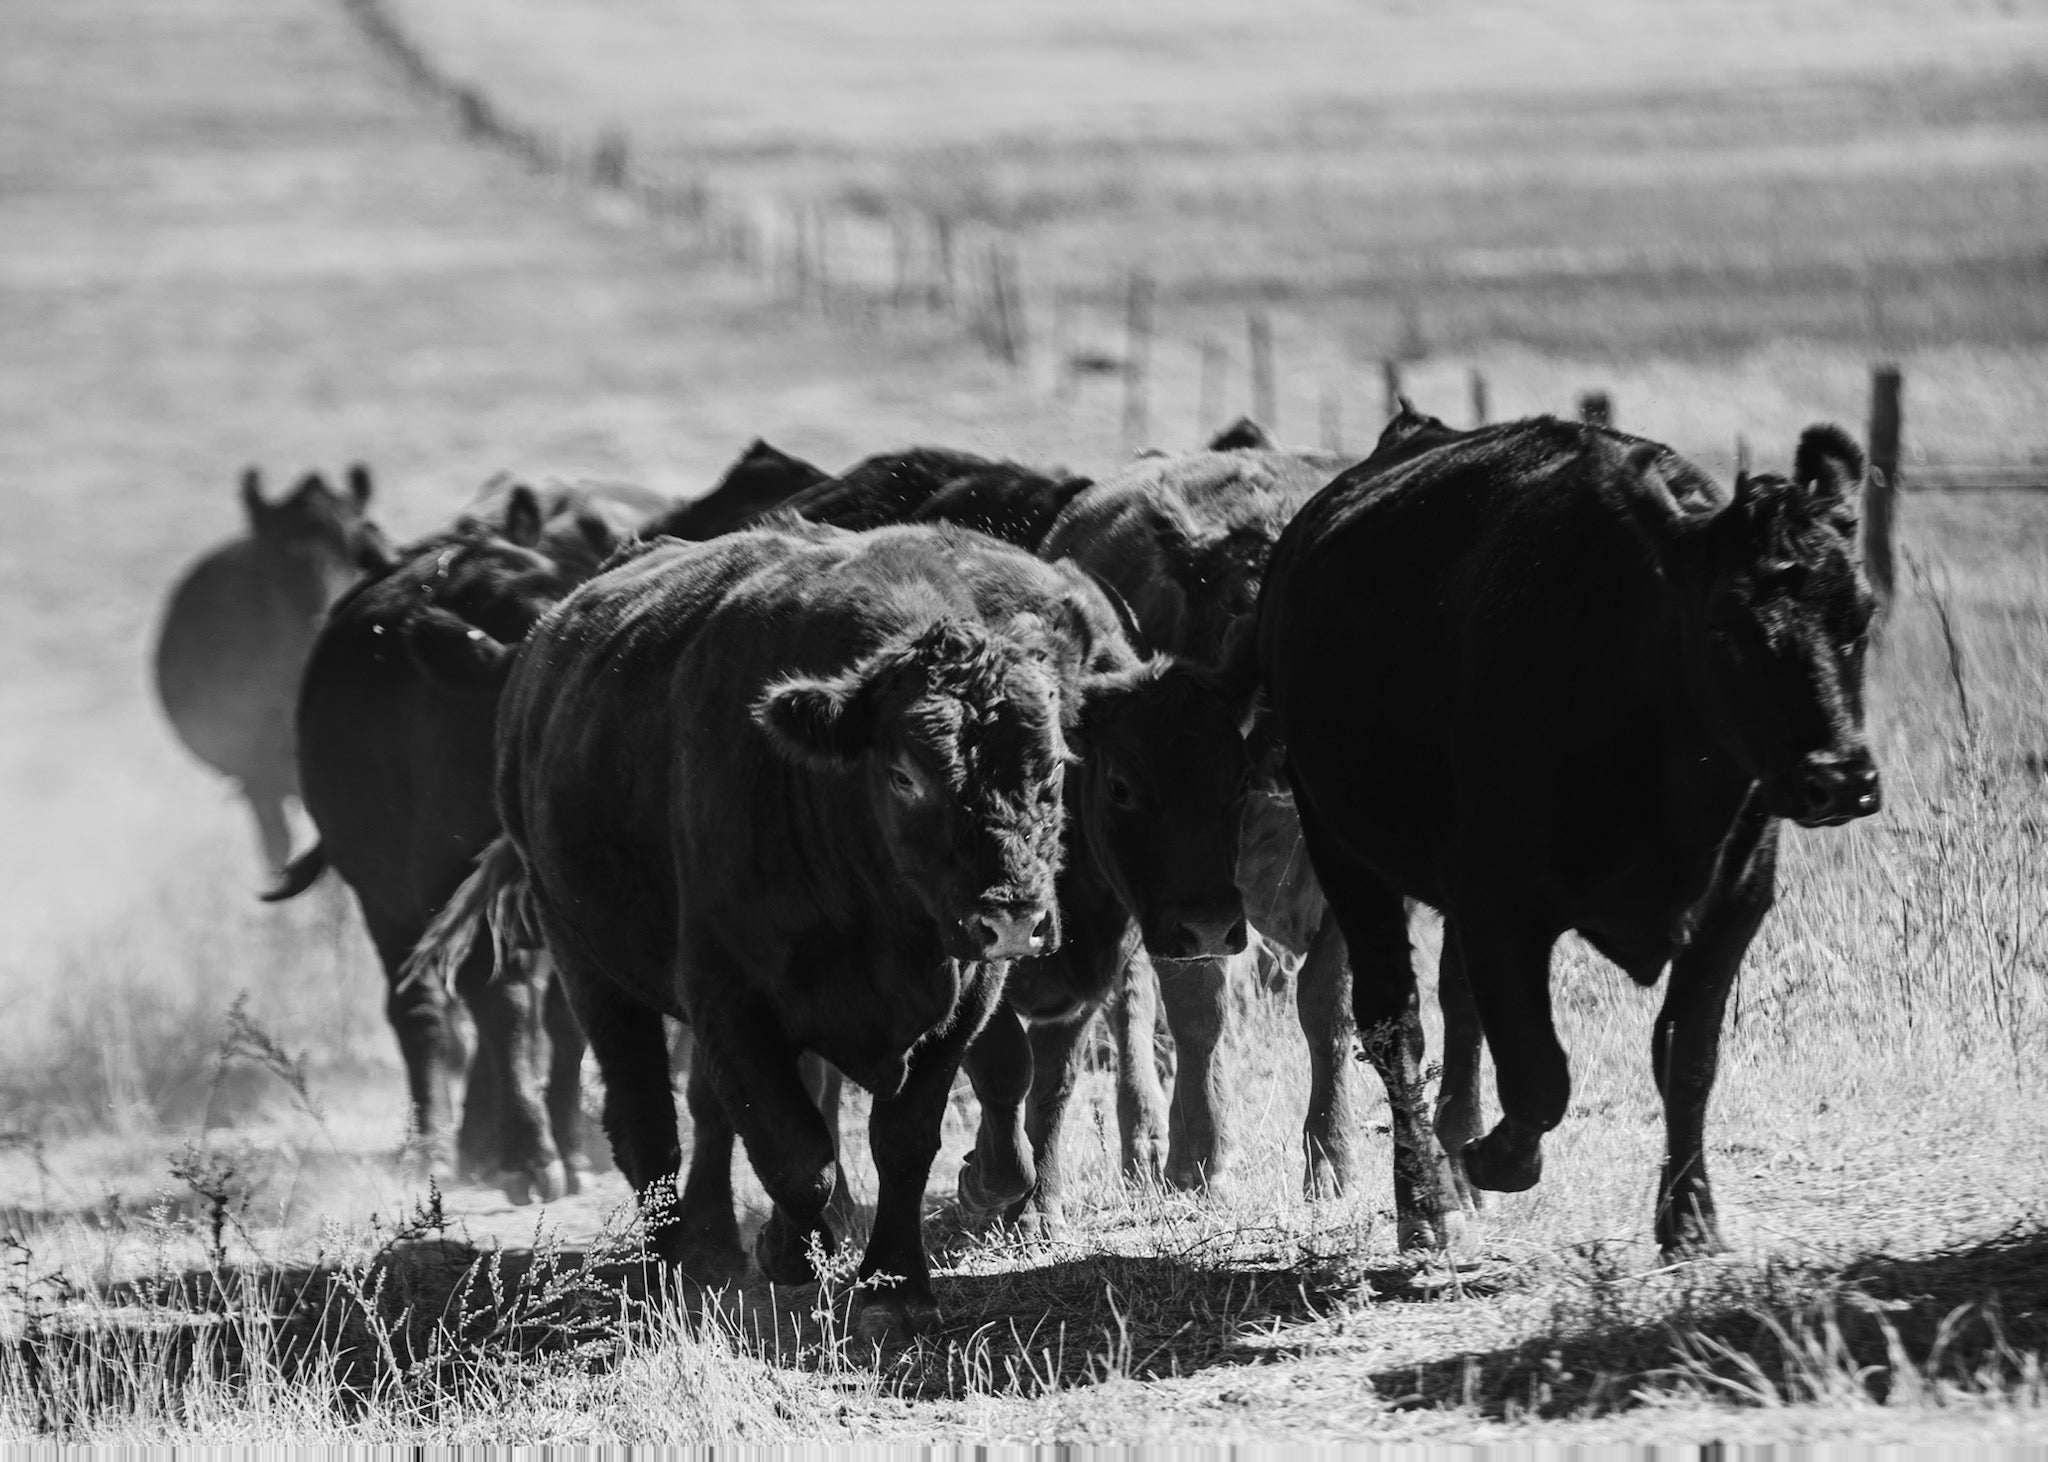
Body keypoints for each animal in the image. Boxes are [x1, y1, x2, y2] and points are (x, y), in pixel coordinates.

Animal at [413, 520, 1174, 1340]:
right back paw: (673, 1263)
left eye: (1054, 766)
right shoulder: (731, 998)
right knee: (647, 1120)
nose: (1011, 916)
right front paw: (790, 1253)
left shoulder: (961, 1003)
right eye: (905, 775)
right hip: (586, 962)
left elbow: (907, 1138)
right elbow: (797, 1153)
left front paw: (895, 1285)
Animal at [1258, 416, 1880, 1253]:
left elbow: (1687, 1057)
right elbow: (1539, 1072)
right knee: (1393, 1019)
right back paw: (1425, 1204)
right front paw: (1497, 1158)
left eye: (1861, 616)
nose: (1840, 777)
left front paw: (1691, 1219)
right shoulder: (1499, 898)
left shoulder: (1736, 900)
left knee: (1456, 1002)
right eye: (1726, 626)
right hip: (1338, 839)